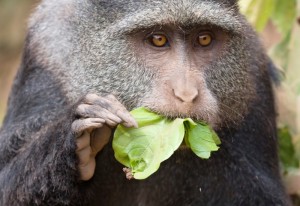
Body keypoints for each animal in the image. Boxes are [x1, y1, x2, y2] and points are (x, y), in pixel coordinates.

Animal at [0, 0, 290, 205]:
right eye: (158, 39)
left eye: (204, 38)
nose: (186, 93)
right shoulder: (47, 50)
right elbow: (6, 180)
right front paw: (77, 138)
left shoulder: (254, 73)